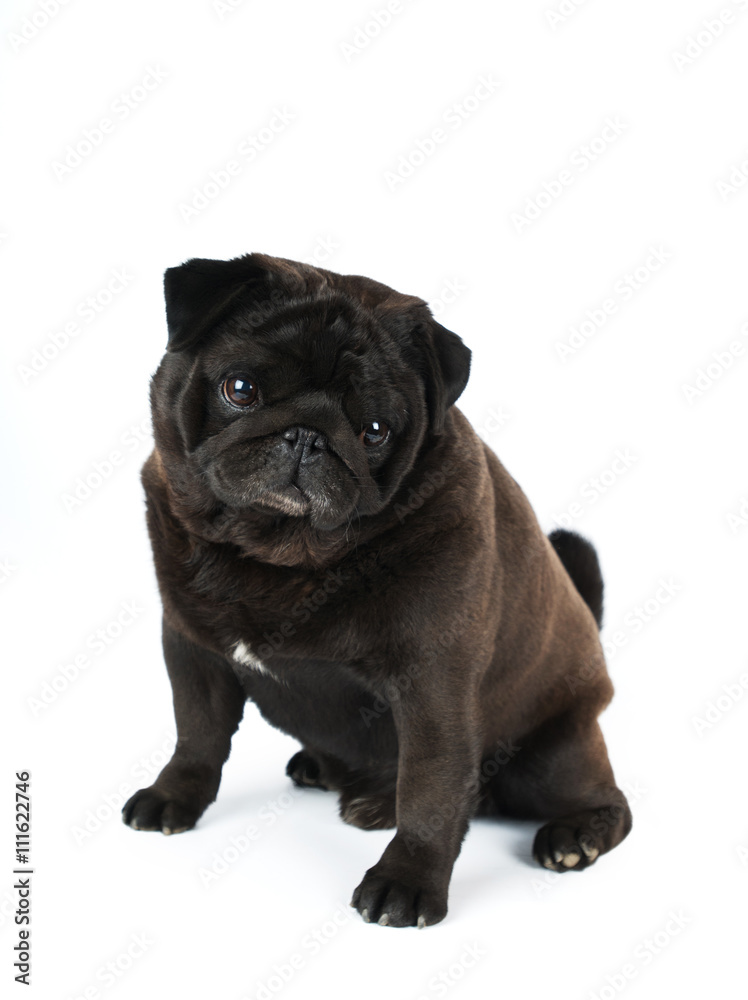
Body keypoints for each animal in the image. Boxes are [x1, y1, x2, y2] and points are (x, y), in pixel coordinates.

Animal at [122, 252, 632, 928]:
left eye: (373, 430)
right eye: (241, 389)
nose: (308, 434)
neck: (276, 558)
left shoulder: (432, 686)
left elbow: (430, 789)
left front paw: (408, 880)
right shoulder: (192, 649)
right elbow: (196, 734)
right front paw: (175, 796)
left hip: (554, 754)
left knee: (603, 801)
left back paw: (573, 836)